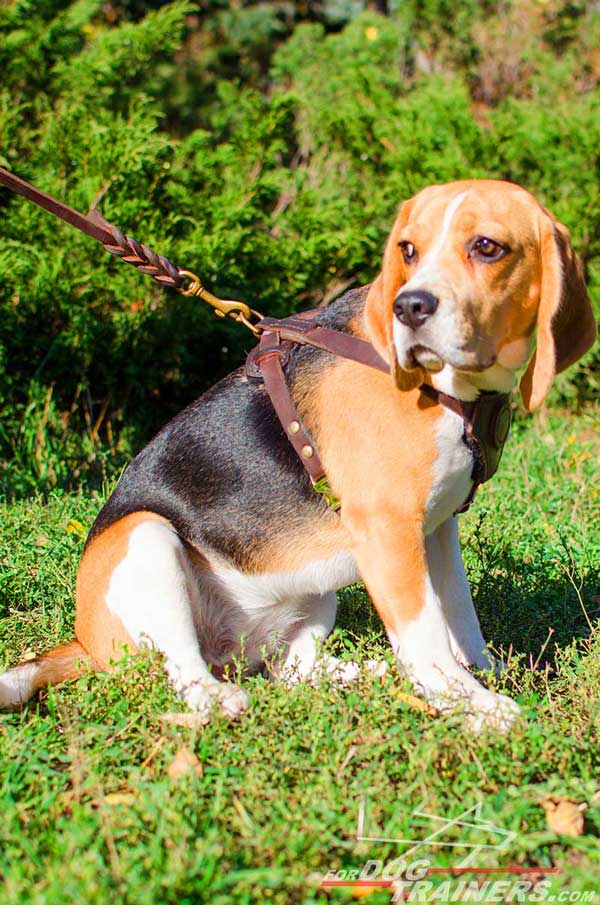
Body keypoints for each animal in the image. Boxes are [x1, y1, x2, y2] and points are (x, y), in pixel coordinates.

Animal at [1, 180, 596, 732]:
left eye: (487, 247)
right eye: (408, 250)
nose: (409, 307)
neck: (455, 389)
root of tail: (82, 641)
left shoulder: (435, 527)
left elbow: (461, 616)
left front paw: (484, 673)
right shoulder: (389, 531)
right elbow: (427, 636)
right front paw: (475, 705)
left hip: (315, 586)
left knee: (293, 671)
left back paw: (363, 673)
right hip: (146, 540)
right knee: (187, 673)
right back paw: (221, 698)